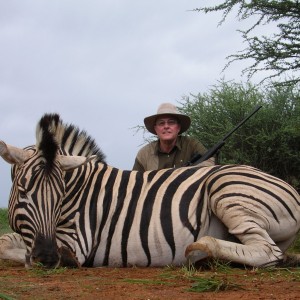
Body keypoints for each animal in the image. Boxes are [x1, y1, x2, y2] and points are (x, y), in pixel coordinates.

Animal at [0, 113, 298, 268]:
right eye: (23, 191)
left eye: (60, 196)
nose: (47, 257)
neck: (80, 188)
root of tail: (293, 191)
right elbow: (5, 242)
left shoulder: (76, 241)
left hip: (225, 188)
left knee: (269, 252)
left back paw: (201, 249)